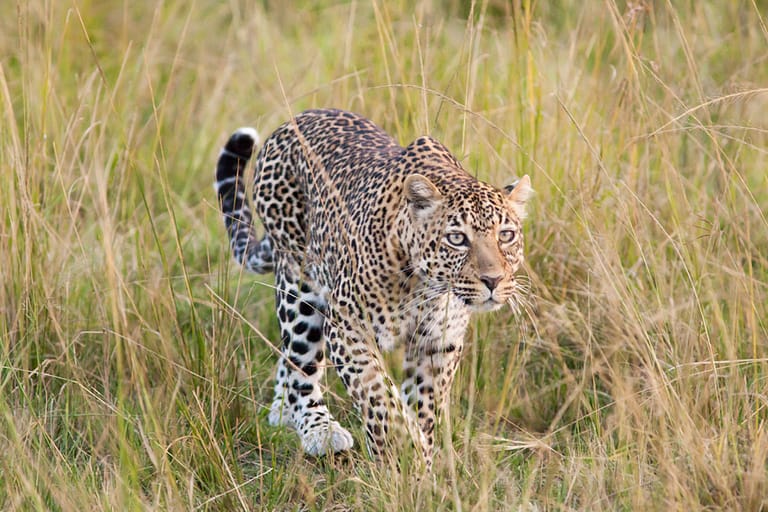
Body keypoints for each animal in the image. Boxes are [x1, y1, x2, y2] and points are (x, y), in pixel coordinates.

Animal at [213, 109, 532, 468]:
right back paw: (317, 428)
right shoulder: (347, 328)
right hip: (300, 283)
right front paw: (398, 451)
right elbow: (378, 396)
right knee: (300, 360)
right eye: (457, 238)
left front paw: (419, 460)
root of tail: (291, 122)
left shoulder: (439, 342)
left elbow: (424, 404)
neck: (425, 286)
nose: (493, 280)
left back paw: (283, 410)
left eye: (506, 235)